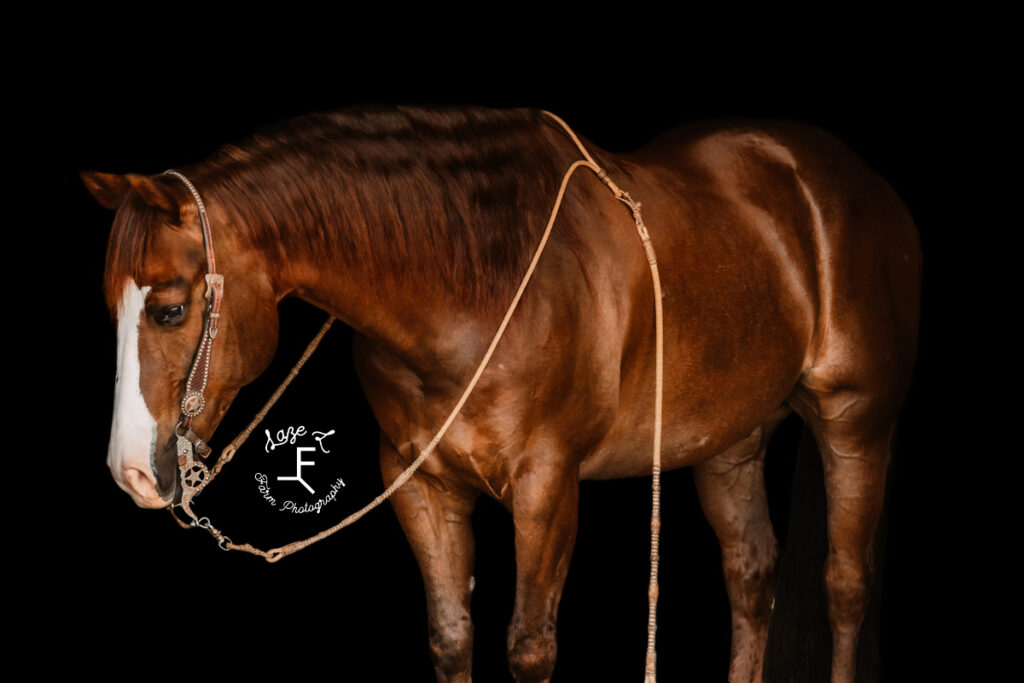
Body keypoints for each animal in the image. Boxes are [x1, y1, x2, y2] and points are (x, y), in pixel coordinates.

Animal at [86, 104, 921, 679]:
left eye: (170, 309)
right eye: (111, 308)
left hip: (857, 422)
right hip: (730, 442)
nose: (131, 473)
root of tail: (858, 184)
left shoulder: (547, 484)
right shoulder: (420, 482)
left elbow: (529, 646)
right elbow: (453, 636)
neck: (478, 283)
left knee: (845, 584)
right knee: (751, 575)